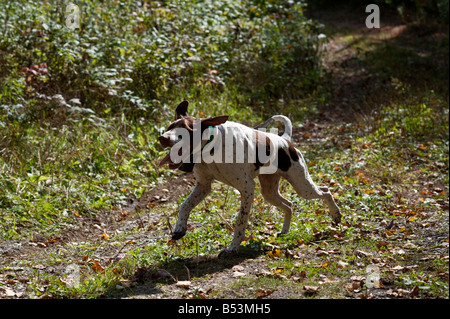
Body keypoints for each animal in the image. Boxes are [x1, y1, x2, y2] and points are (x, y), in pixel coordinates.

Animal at [159, 100, 342, 258]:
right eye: (169, 127)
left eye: (185, 130)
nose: (162, 138)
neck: (211, 146)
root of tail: (284, 140)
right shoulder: (203, 186)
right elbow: (184, 206)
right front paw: (179, 228)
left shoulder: (247, 188)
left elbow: (240, 222)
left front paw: (232, 248)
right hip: (269, 192)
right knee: (289, 205)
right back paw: (285, 231)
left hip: (302, 186)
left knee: (326, 192)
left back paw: (336, 215)